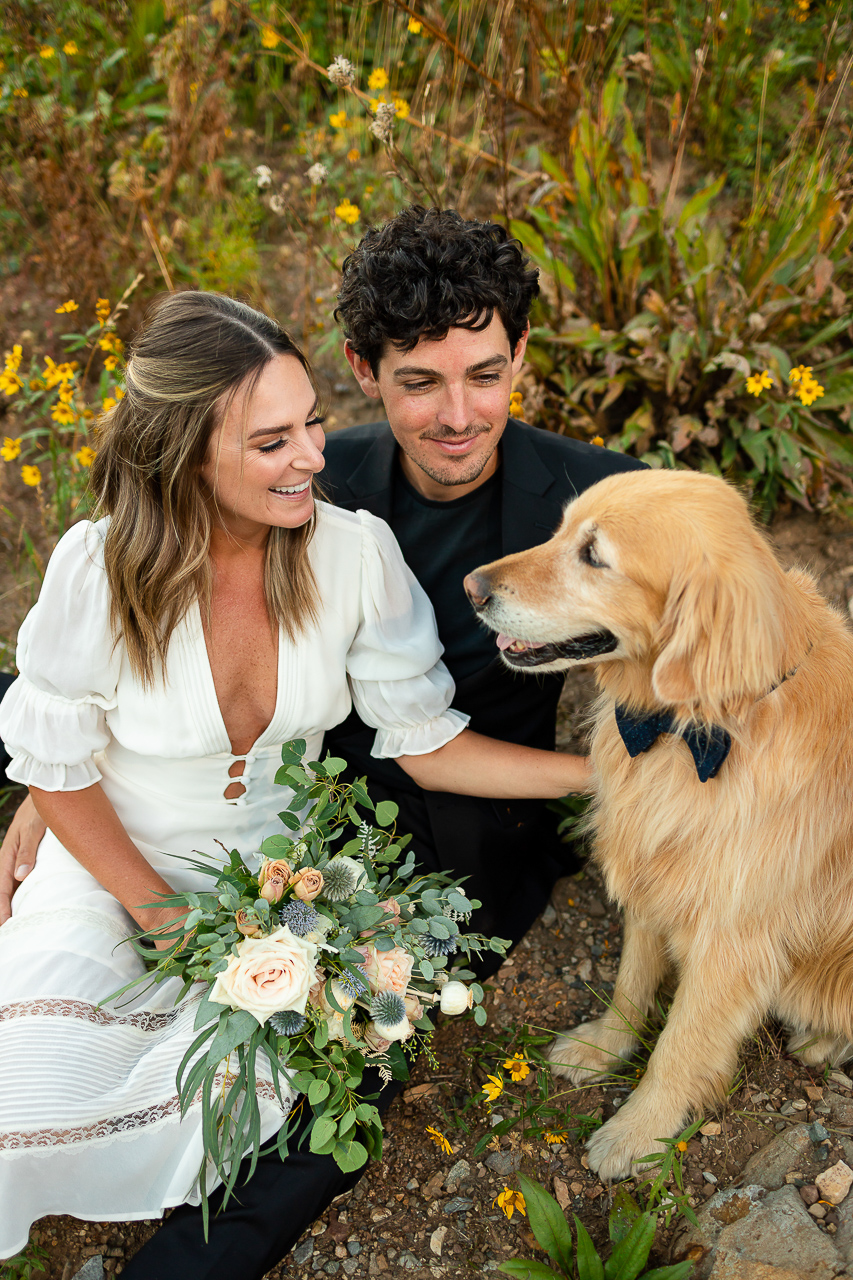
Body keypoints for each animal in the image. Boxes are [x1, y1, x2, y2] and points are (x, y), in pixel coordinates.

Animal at [461, 468, 850, 1177]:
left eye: (594, 556)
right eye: (560, 528)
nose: (472, 587)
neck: (692, 729)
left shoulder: (730, 940)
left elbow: (680, 1044)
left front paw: (639, 1131)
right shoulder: (653, 867)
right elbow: (630, 984)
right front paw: (604, 1047)